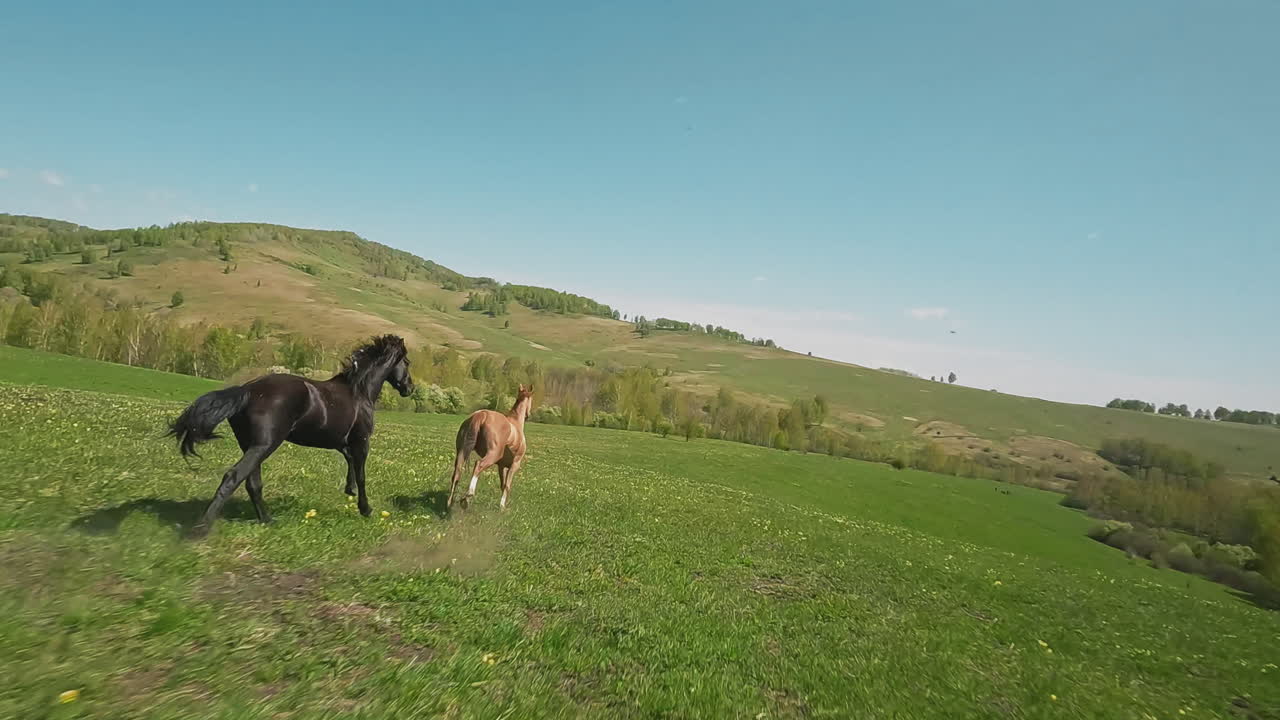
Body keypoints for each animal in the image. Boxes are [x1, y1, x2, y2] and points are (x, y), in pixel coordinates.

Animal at [167, 334, 414, 537]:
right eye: (407, 363)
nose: (410, 389)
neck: (359, 391)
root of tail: (247, 391)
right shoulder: (362, 441)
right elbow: (362, 474)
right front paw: (365, 509)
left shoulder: (342, 442)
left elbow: (350, 463)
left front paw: (349, 490)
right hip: (264, 445)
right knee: (233, 477)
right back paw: (200, 530)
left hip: (250, 445)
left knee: (253, 484)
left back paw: (267, 520)